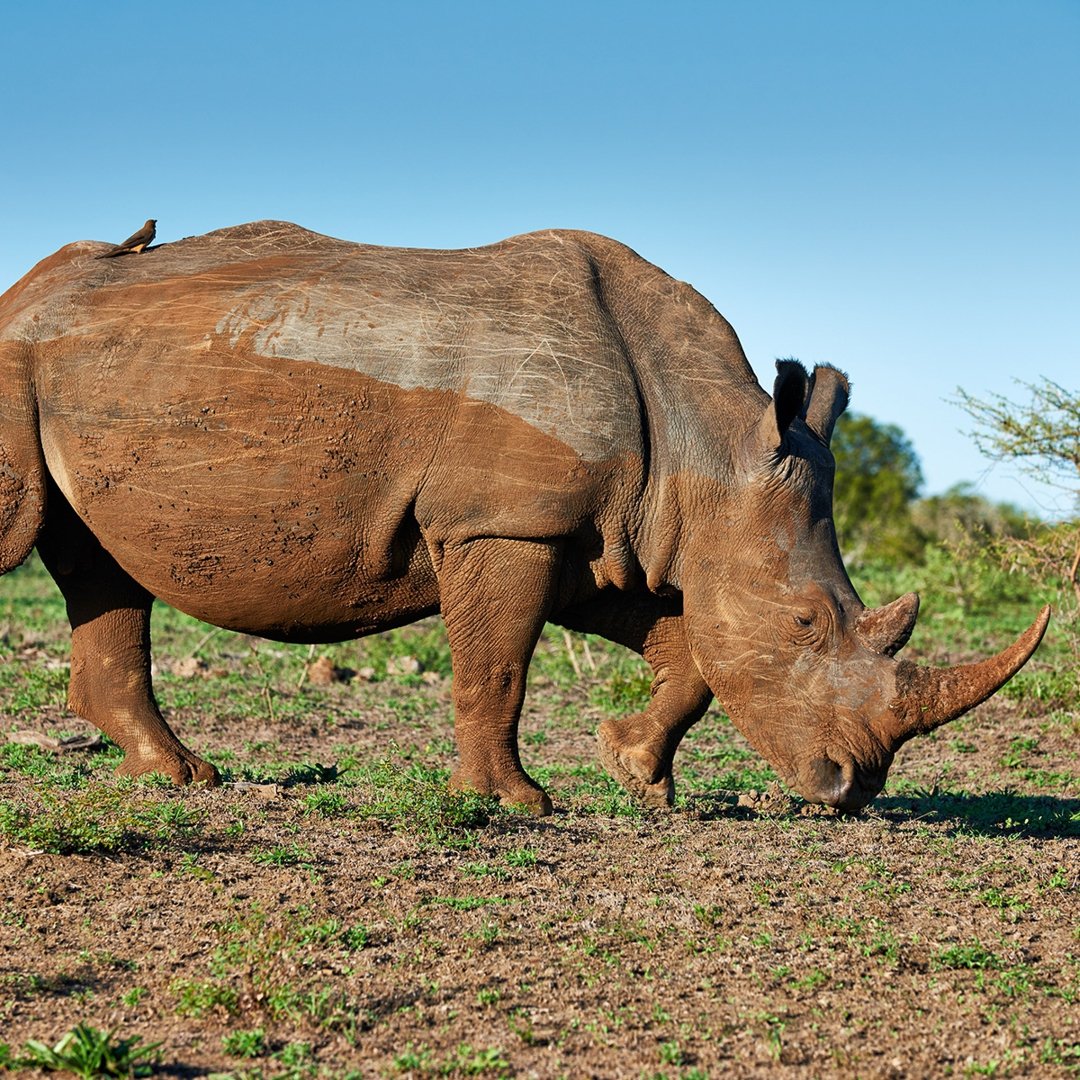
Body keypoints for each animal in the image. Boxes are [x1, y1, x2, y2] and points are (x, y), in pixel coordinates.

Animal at [0, 221, 1048, 814]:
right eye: (802, 623)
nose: (854, 790)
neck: (708, 446)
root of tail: (28, 295)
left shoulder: (610, 532)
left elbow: (687, 654)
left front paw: (638, 774)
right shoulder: (504, 522)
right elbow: (499, 664)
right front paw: (518, 805)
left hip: (81, 371)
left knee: (99, 565)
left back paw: (178, 779)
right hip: (20, 362)